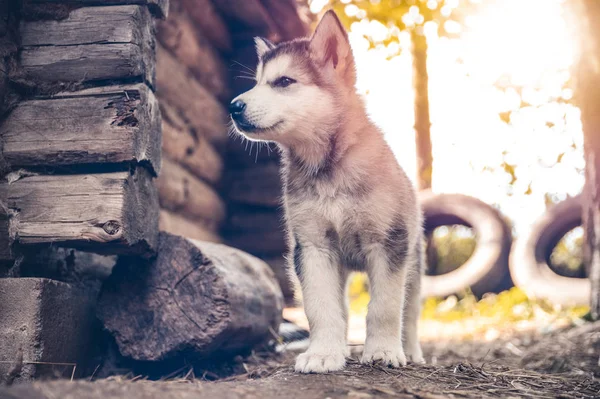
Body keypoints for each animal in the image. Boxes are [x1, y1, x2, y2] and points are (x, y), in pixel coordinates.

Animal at [227, 10, 424, 376]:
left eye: (284, 82)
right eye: (257, 82)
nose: (233, 106)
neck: (328, 169)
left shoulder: (388, 244)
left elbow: (386, 306)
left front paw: (383, 351)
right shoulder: (312, 247)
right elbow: (321, 307)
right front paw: (323, 353)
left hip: (414, 260)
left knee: (412, 310)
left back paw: (412, 351)